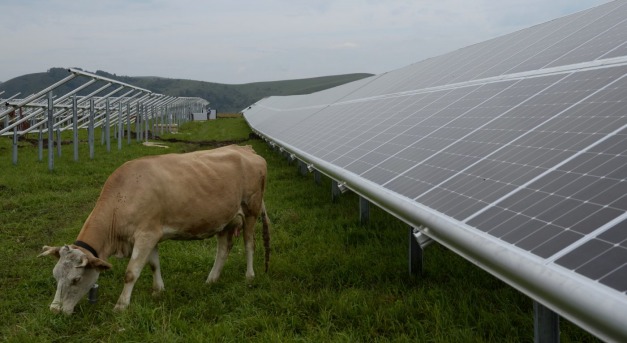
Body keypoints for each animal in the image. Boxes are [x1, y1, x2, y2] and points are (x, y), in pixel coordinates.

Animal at [38, 144, 272, 316]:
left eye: (76, 280)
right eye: (55, 276)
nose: (54, 310)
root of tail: (244, 148)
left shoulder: (146, 235)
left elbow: (131, 273)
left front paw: (121, 306)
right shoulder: (150, 235)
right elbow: (153, 264)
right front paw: (158, 291)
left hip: (251, 210)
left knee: (249, 244)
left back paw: (249, 276)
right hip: (225, 219)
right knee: (223, 248)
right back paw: (211, 280)